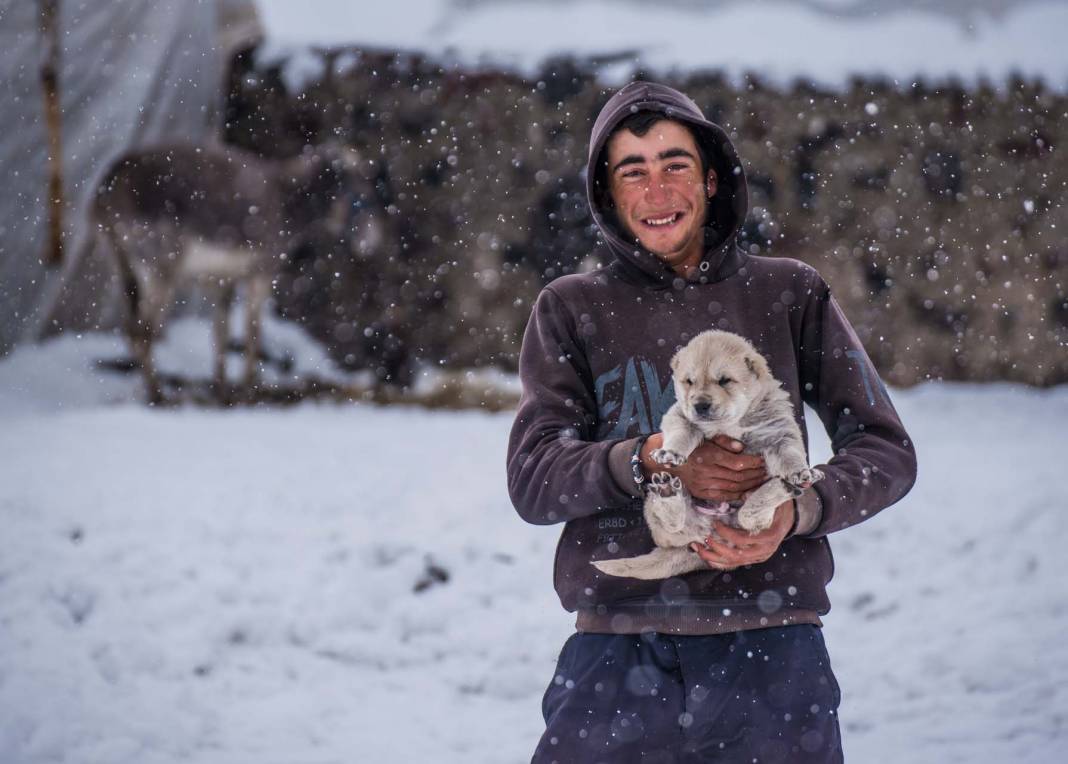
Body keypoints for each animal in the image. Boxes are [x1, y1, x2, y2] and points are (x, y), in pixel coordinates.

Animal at [593, 329, 824, 581]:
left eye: (724, 380)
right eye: (689, 381)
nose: (700, 404)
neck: (732, 423)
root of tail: (711, 530)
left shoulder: (778, 430)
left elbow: (790, 454)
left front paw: (799, 473)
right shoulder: (680, 416)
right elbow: (681, 434)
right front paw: (670, 452)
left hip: (759, 526)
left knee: (749, 517)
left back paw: (784, 487)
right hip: (657, 511)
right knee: (674, 526)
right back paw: (667, 493)